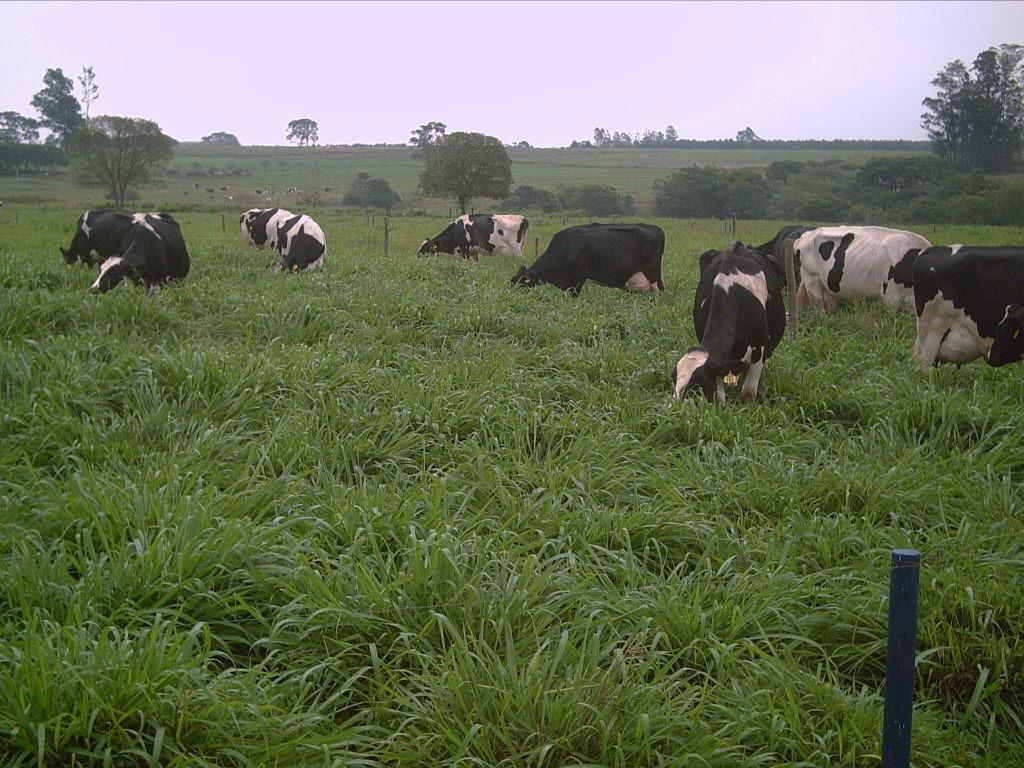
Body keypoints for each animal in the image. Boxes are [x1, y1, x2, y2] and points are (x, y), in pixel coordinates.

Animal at [509, 224, 663, 296]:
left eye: (522, 283)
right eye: (512, 281)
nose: (511, 296)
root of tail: (656, 228)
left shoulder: (578, 279)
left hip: (653, 275)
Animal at [671, 241, 782, 403]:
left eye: (699, 383)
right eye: (673, 378)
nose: (675, 407)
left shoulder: (759, 348)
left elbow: (749, 391)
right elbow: (719, 393)